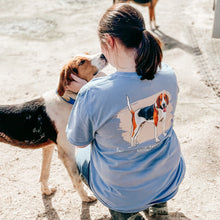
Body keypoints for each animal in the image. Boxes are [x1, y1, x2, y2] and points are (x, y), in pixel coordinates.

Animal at [0, 53, 107, 203]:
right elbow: (77, 179)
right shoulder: (67, 152)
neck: (66, 99)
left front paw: (46, 191)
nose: (103, 54)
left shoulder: (49, 147)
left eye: (86, 54)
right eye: (82, 62)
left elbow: (45, 173)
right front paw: (85, 198)